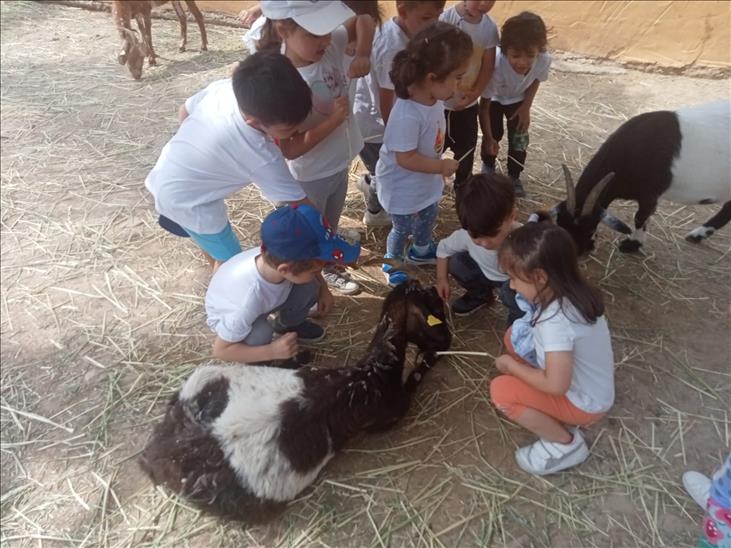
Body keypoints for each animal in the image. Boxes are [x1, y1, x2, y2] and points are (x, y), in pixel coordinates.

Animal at [138, 280, 452, 521]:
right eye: (436, 307)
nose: (447, 341)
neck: (373, 372)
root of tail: (163, 451)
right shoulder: (393, 413)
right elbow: (415, 380)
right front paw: (427, 361)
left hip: (202, 377)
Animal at [553, 100, 731, 254]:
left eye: (589, 227)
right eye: (560, 223)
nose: (576, 253)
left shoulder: (650, 195)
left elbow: (640, 217)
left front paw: (632, 244)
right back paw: (697, 236)